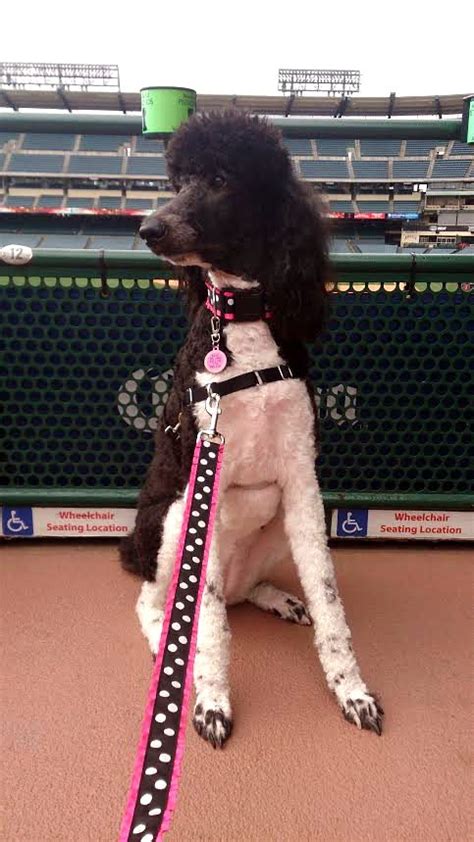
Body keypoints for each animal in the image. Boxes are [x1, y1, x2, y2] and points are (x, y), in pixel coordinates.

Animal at [120, 108, 384, 744]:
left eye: (222, 180)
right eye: (176, 180)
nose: (149, 228)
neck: (241, 331)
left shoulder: (302, 482)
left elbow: (328, 595)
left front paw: (351, 691)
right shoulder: (203, 487)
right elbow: (211, 620)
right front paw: (211, 698)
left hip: (275, 522)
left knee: (237, 595)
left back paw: (273, 598)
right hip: (170, 522)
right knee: (159, 603)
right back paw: (169, 647)